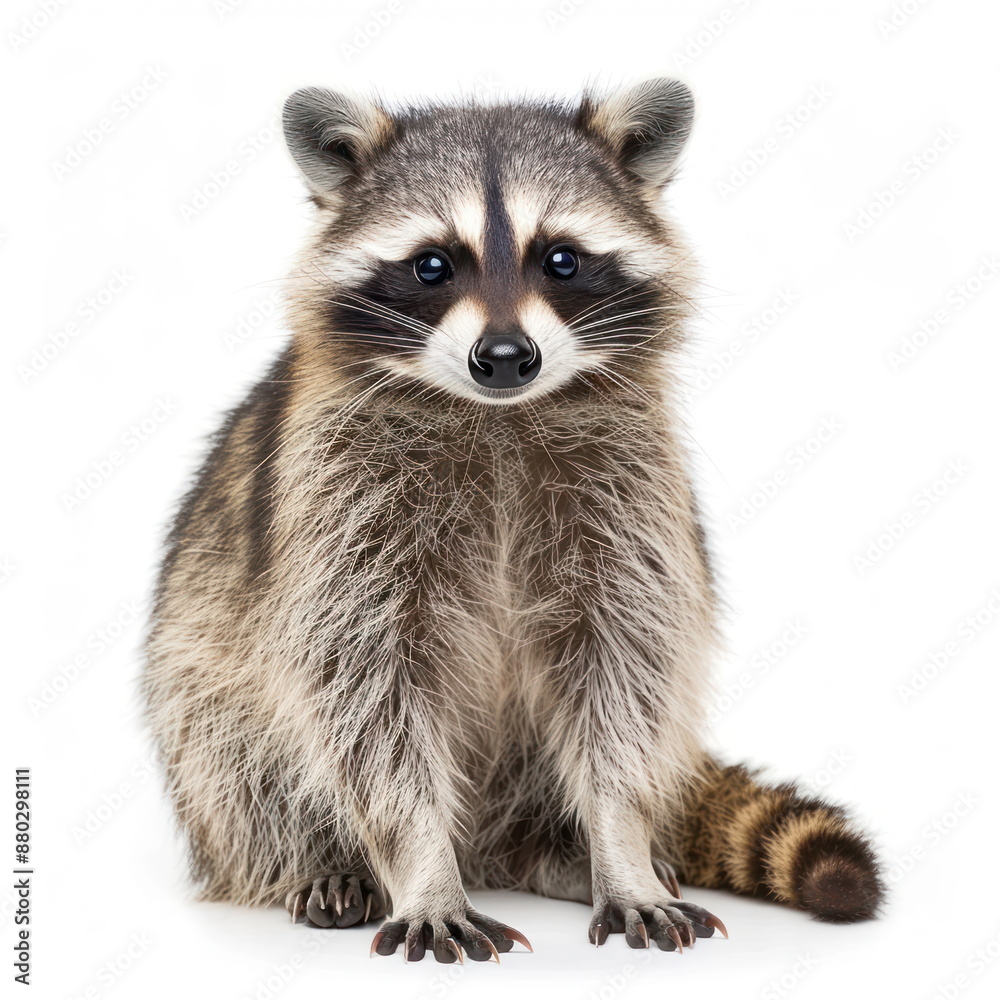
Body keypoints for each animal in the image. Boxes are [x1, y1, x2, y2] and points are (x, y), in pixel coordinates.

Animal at [144, 79, 883, 963]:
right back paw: (323, 861)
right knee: (230, 752)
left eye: (560, 258)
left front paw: (620, 844)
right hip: (198, 692)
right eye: (432, 264)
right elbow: (361, 690)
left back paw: (559, 850)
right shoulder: (337, 506)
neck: (498, 415)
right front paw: (420, 866)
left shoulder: (631, 501)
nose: (503, 357)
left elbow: (627, 672)